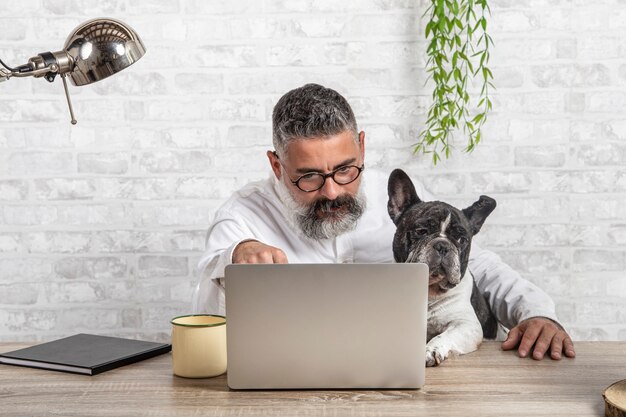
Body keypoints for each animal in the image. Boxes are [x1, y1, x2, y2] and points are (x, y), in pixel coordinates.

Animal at [386, 167, 498, 366]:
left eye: (462, 239)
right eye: (421, 231)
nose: (443, 245)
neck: (429, 291)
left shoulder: (466, 324)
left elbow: (443, 336)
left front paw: (430, 350)